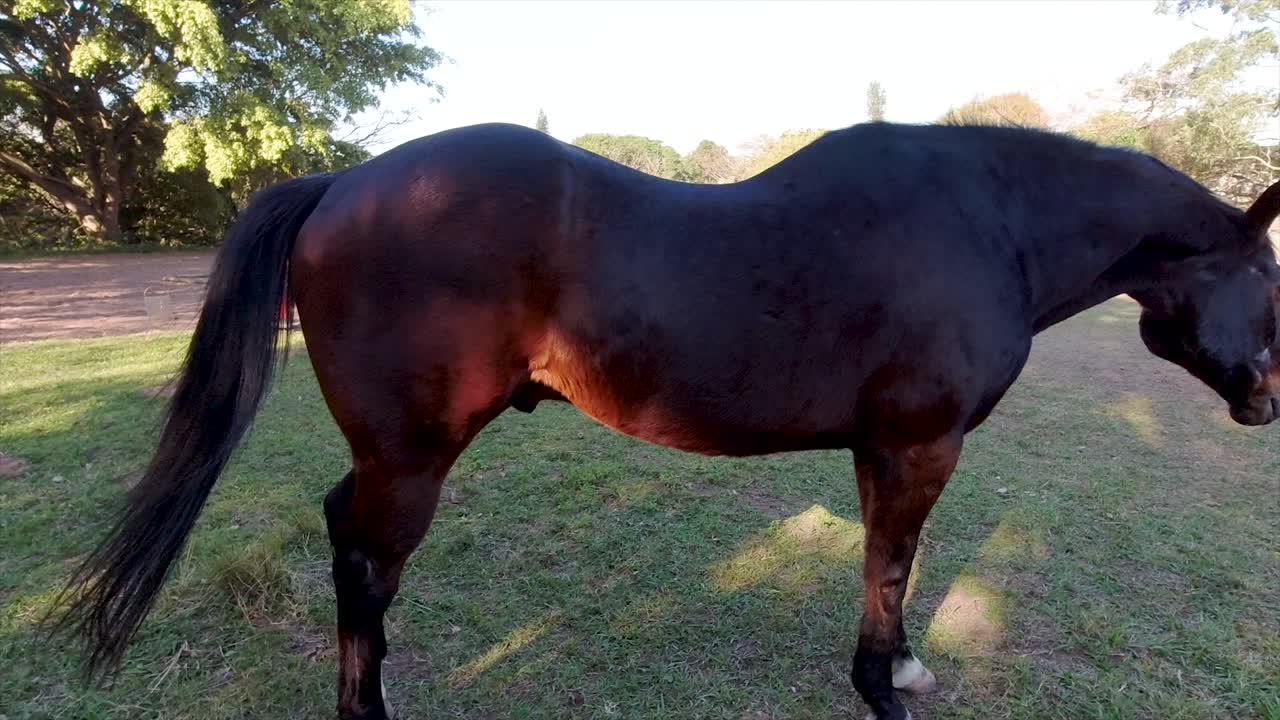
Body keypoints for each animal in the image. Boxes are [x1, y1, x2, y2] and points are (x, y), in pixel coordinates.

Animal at [49, 121, 1279, 720]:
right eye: (1271, 281)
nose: (1266, 400)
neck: (985, 221)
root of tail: (344, 183)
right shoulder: (919, 445)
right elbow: (890, 564)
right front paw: (884, 688)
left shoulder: (880, 449)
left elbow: (888, 562)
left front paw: (897, 669)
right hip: (412, 458)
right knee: (364, 563)